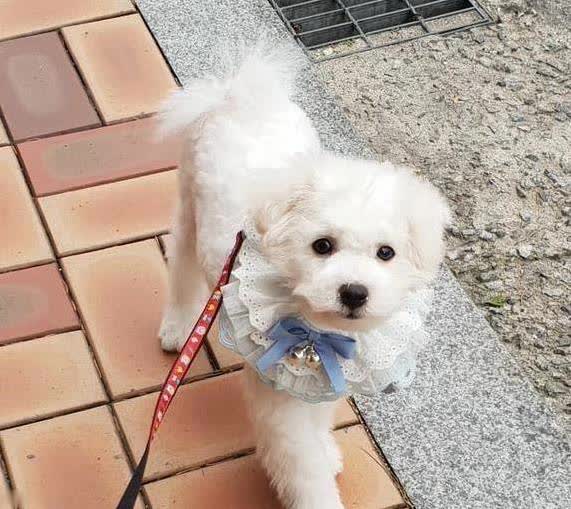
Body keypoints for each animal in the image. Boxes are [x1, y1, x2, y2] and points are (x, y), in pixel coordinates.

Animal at [158, 41, 449, 509]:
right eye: (322, 246)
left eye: (386, 253)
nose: (354, 292)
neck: (316, 330)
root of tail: (243, 96)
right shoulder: (280, 392)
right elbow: (302, 466)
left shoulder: (323, 378)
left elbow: (320, 424)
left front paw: (329, 451)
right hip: (189, 205)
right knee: (181, 263)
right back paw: (177, 328)